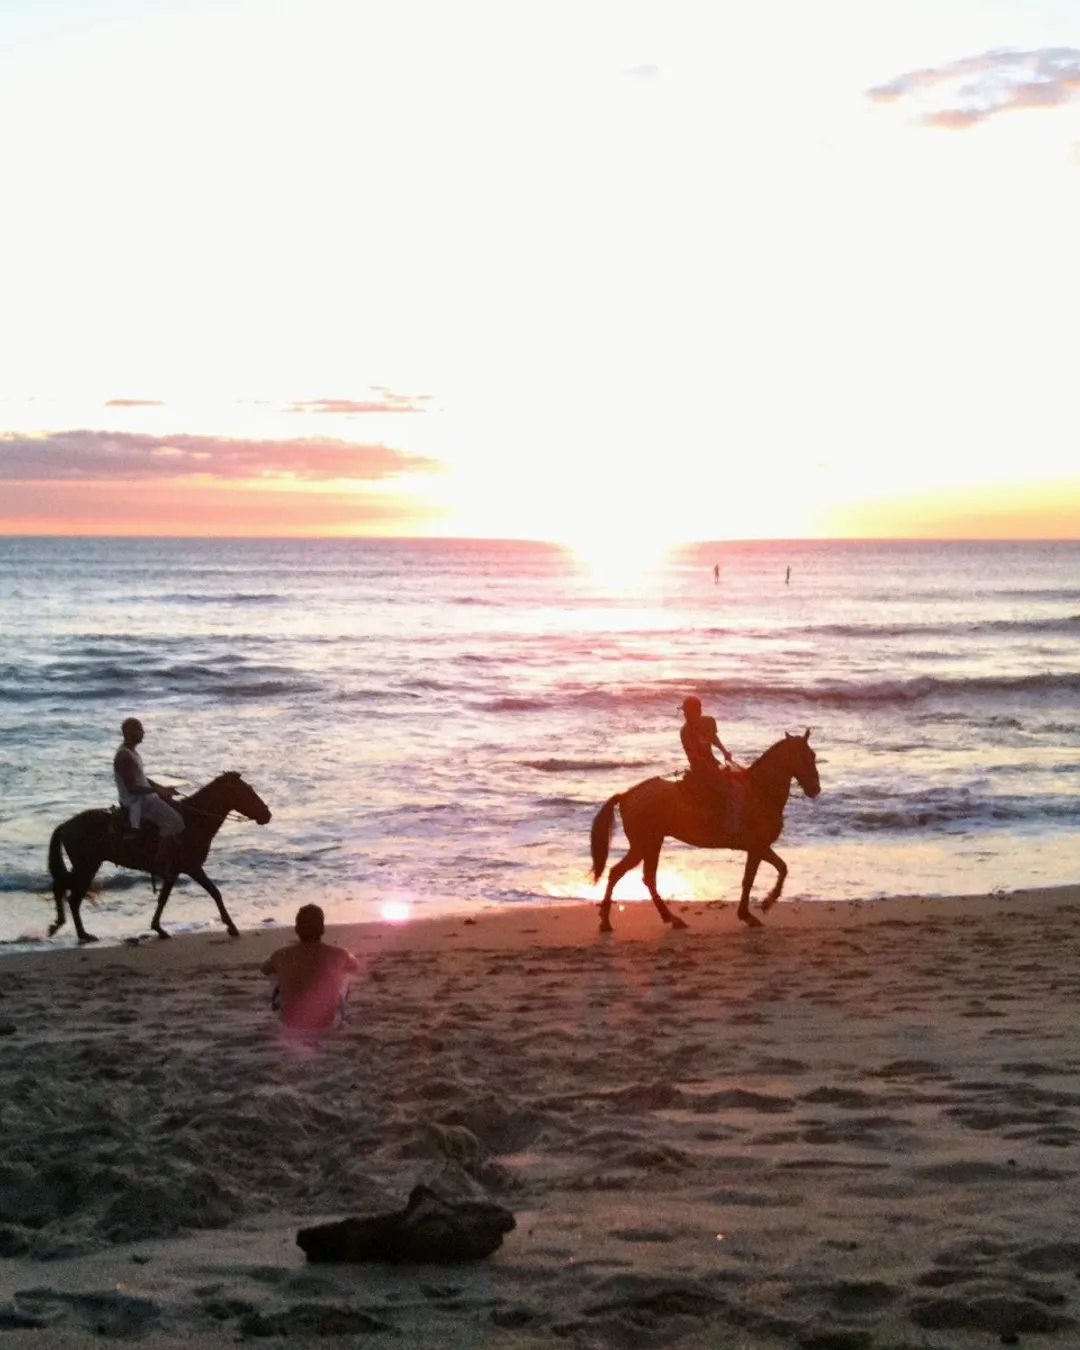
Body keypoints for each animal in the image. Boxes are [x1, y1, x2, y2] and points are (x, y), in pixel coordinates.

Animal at [47, 772, 272, 943]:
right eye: (247, 792)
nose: (267, 815)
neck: (193, 821)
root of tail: (65, 825)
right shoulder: (191, 867)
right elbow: (214, 892)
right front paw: (231, 926)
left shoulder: (173, 871)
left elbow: (163, 899)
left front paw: (158, 928)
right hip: (87, 865)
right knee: (70, 894)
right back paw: (77, 932)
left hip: (87, 865)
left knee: (67, 891)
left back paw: (73, 930)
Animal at [590, 730, 820, 932]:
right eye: (805, 756)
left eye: (813, 755)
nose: (815, 789)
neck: (760, 791)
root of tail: (626, 795)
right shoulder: (757, 847)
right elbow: (755, 878)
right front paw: (755, 910)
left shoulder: (759, 848)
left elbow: (777, 869)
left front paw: (760, 907)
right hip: (645, 844)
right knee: (625, 874)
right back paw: (611, 921)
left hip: (650, 844)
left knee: (639, 877)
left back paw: (666, 919)